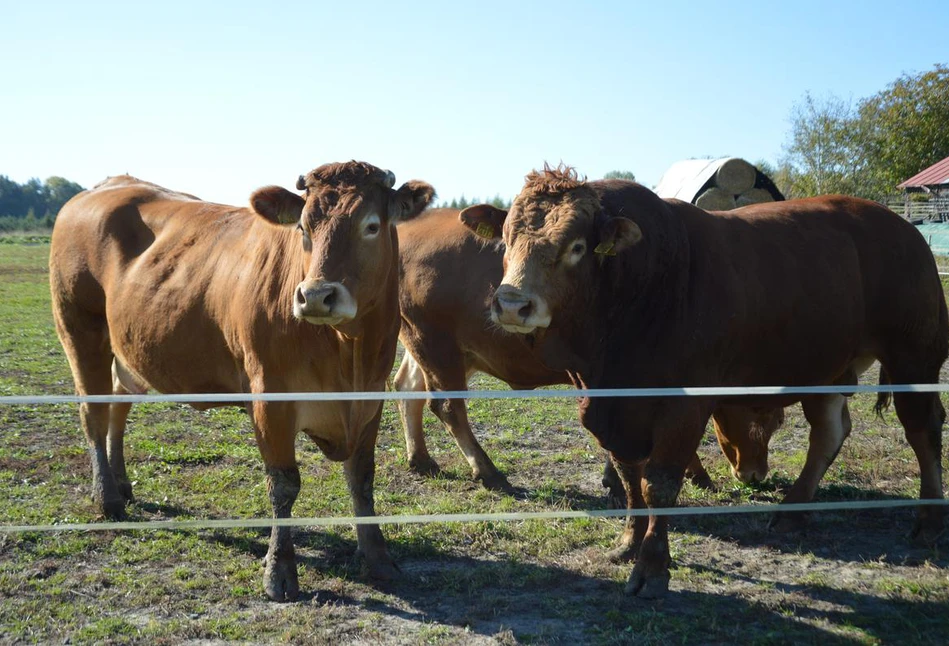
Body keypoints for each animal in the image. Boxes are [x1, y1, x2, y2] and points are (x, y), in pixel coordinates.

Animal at [50, 162, 436, 604]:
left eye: (371, 226)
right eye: (303, 227)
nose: (315, 296)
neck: (346, 353)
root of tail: (104, 187)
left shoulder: (371, 399)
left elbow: (362, 478)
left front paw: (377, 557)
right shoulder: (270, 399)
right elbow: (283, 485)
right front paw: (279, 571)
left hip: (127, 348)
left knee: (118, 404)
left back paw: (121, 482)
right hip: (80, 330)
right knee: (93, 413)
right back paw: (108, 498)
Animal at [466, 167, 948, 604]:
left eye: (577, 247)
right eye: (506, 239)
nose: (512, 304)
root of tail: (901, 226)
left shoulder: (685, 404)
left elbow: (659, 483)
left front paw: (652, 567)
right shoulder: (609, 406)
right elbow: (628, 476)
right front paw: (627, 543)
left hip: (915, 357)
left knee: (923, 431)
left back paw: (928, 520)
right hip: (826, 369)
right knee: (829, 433)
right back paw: (793, 511)